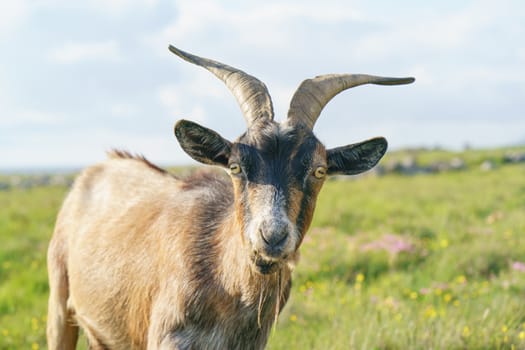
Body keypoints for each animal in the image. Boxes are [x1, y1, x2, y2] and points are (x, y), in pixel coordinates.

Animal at [46, 46, 414, 350]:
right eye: (235, 166)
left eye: (319, 170)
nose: (271, 236)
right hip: (59, 303)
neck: (225, 284)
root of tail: (102, 165)